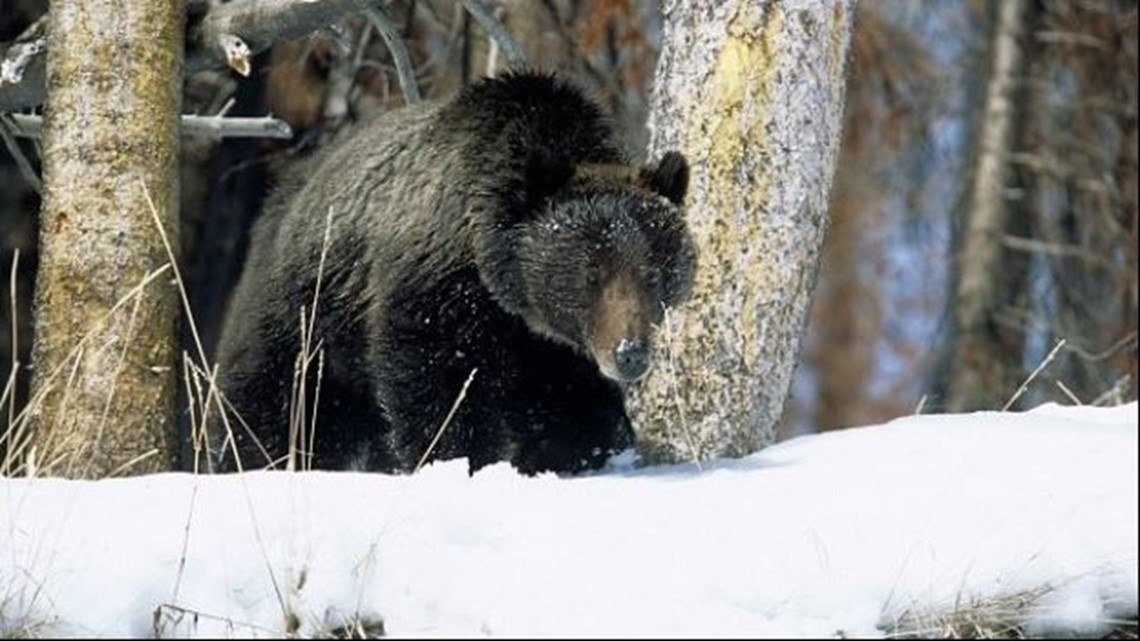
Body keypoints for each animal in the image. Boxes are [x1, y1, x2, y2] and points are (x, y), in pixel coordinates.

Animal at [211, 71, 696, 475]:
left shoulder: (553, 350)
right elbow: (440, 388)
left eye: (653, 274)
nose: (630, 353)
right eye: (589, 273)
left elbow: (579, 409)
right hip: (307, 316)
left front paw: (568, 452)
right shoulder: (438, 295)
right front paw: (460, 458)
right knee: (270, 399)